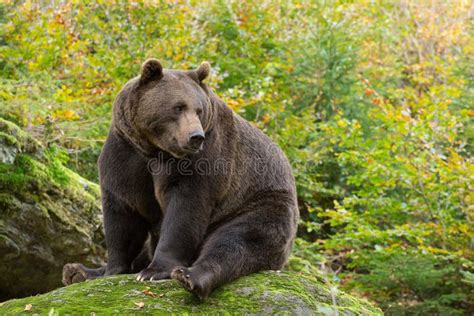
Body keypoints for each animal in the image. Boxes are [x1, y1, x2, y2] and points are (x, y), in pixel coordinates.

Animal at [62, 59, 298, 298]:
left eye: (199, 110)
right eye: (178, 107)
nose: (195, 137)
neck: (156, 149)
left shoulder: (206, 157)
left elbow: (184, 211)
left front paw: (154, 271)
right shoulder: (125, 153)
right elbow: (123, 213)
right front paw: (111, 269)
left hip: (260, 204)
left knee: (236, 241)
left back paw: (189, 276)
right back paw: (78, 271)